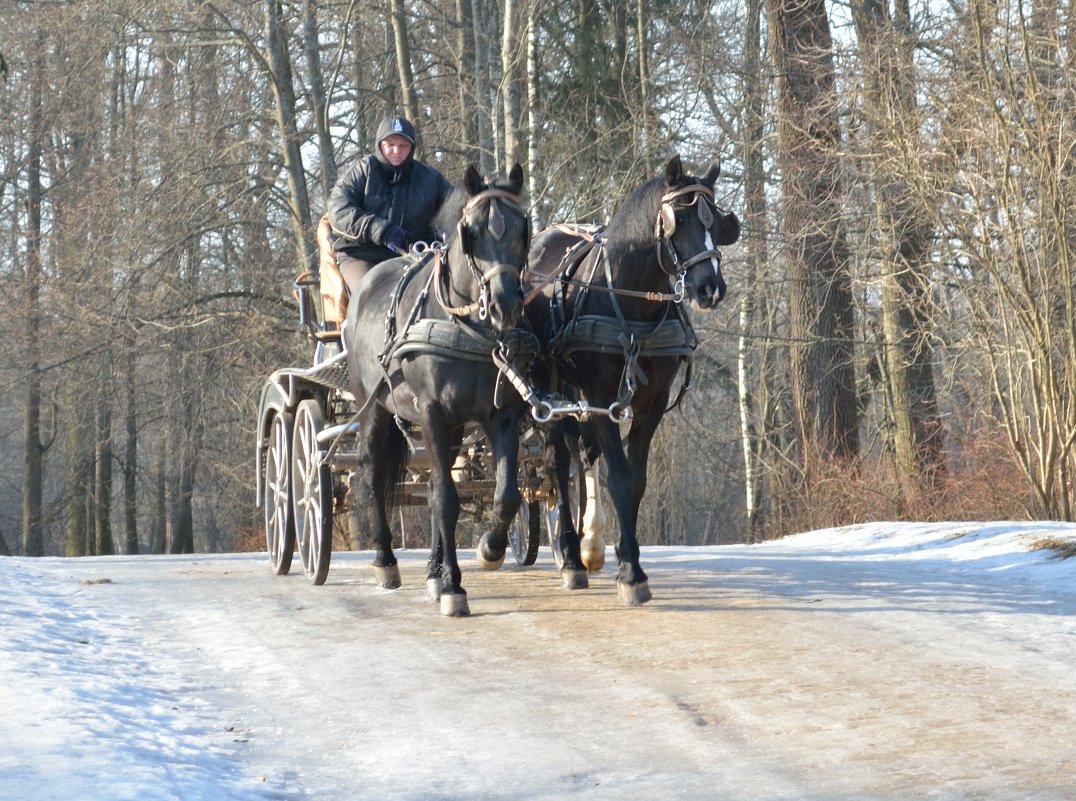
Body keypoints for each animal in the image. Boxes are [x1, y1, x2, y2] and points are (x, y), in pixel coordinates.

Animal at [342, 161, 531, 611]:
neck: (466, 326)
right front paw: (453, 587)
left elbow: (506, 495)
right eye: (472, 232)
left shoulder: (500, 414)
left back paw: (432, 569)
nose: (505, 304)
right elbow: (446, 498)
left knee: (429, 486)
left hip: (457, 427)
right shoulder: (430, 411)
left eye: (523, 228)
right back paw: (385, 561)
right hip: (374, 409)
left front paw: (489, 549)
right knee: (372, 475)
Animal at [527, 155, 740, 607]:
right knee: (558, 463)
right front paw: (630, 573)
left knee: (583, 454)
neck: (629, 301)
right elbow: (621, 478)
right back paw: (570, 557)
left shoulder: (651, 403)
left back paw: (588, 545)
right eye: (679, 218)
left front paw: (627, 560)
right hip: (546, 389)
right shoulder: (601, 396)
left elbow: (636, 481)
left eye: (717, 223)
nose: (710, 288)